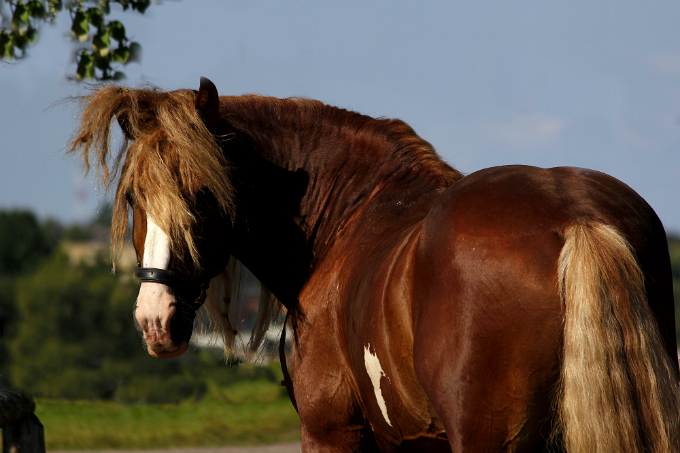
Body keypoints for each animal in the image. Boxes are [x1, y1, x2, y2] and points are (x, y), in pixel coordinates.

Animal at [70, 78, 680, 452]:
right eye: (134, 199)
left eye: (204, 194)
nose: (156, 320)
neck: (353, 212)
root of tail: (576, 218)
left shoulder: (331, 433)